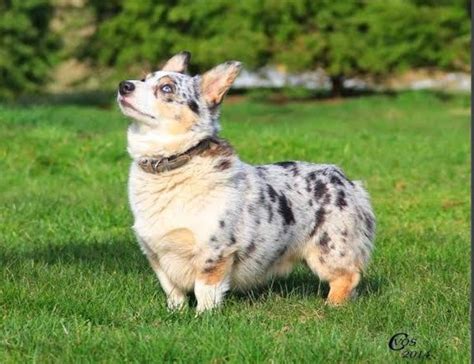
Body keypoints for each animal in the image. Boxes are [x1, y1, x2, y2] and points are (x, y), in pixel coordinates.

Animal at [116, 51, 376, 312]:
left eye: (166, 88)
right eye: (143, 78)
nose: (123, 85)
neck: (171, 163)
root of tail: (347, 181)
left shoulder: (214, 253)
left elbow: (205, 290)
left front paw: (202, 316)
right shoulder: (156, 255)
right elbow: (173, 291)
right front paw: (176, 313)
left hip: (328, 249)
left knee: (348, 276)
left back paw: (332, 305)